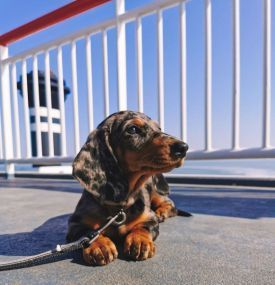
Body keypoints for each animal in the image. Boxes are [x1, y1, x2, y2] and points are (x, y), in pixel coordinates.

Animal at [68, 110, 191, 264]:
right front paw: (99, 245)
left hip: (157, 193)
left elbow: (143, 227)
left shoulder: (150, 218)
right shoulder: (74, 224)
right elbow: (87, 233)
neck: (119, 207)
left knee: (170, 205)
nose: (184, 147)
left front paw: (140, 241)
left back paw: (161, 212)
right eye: (133, 129)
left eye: (159, 128)